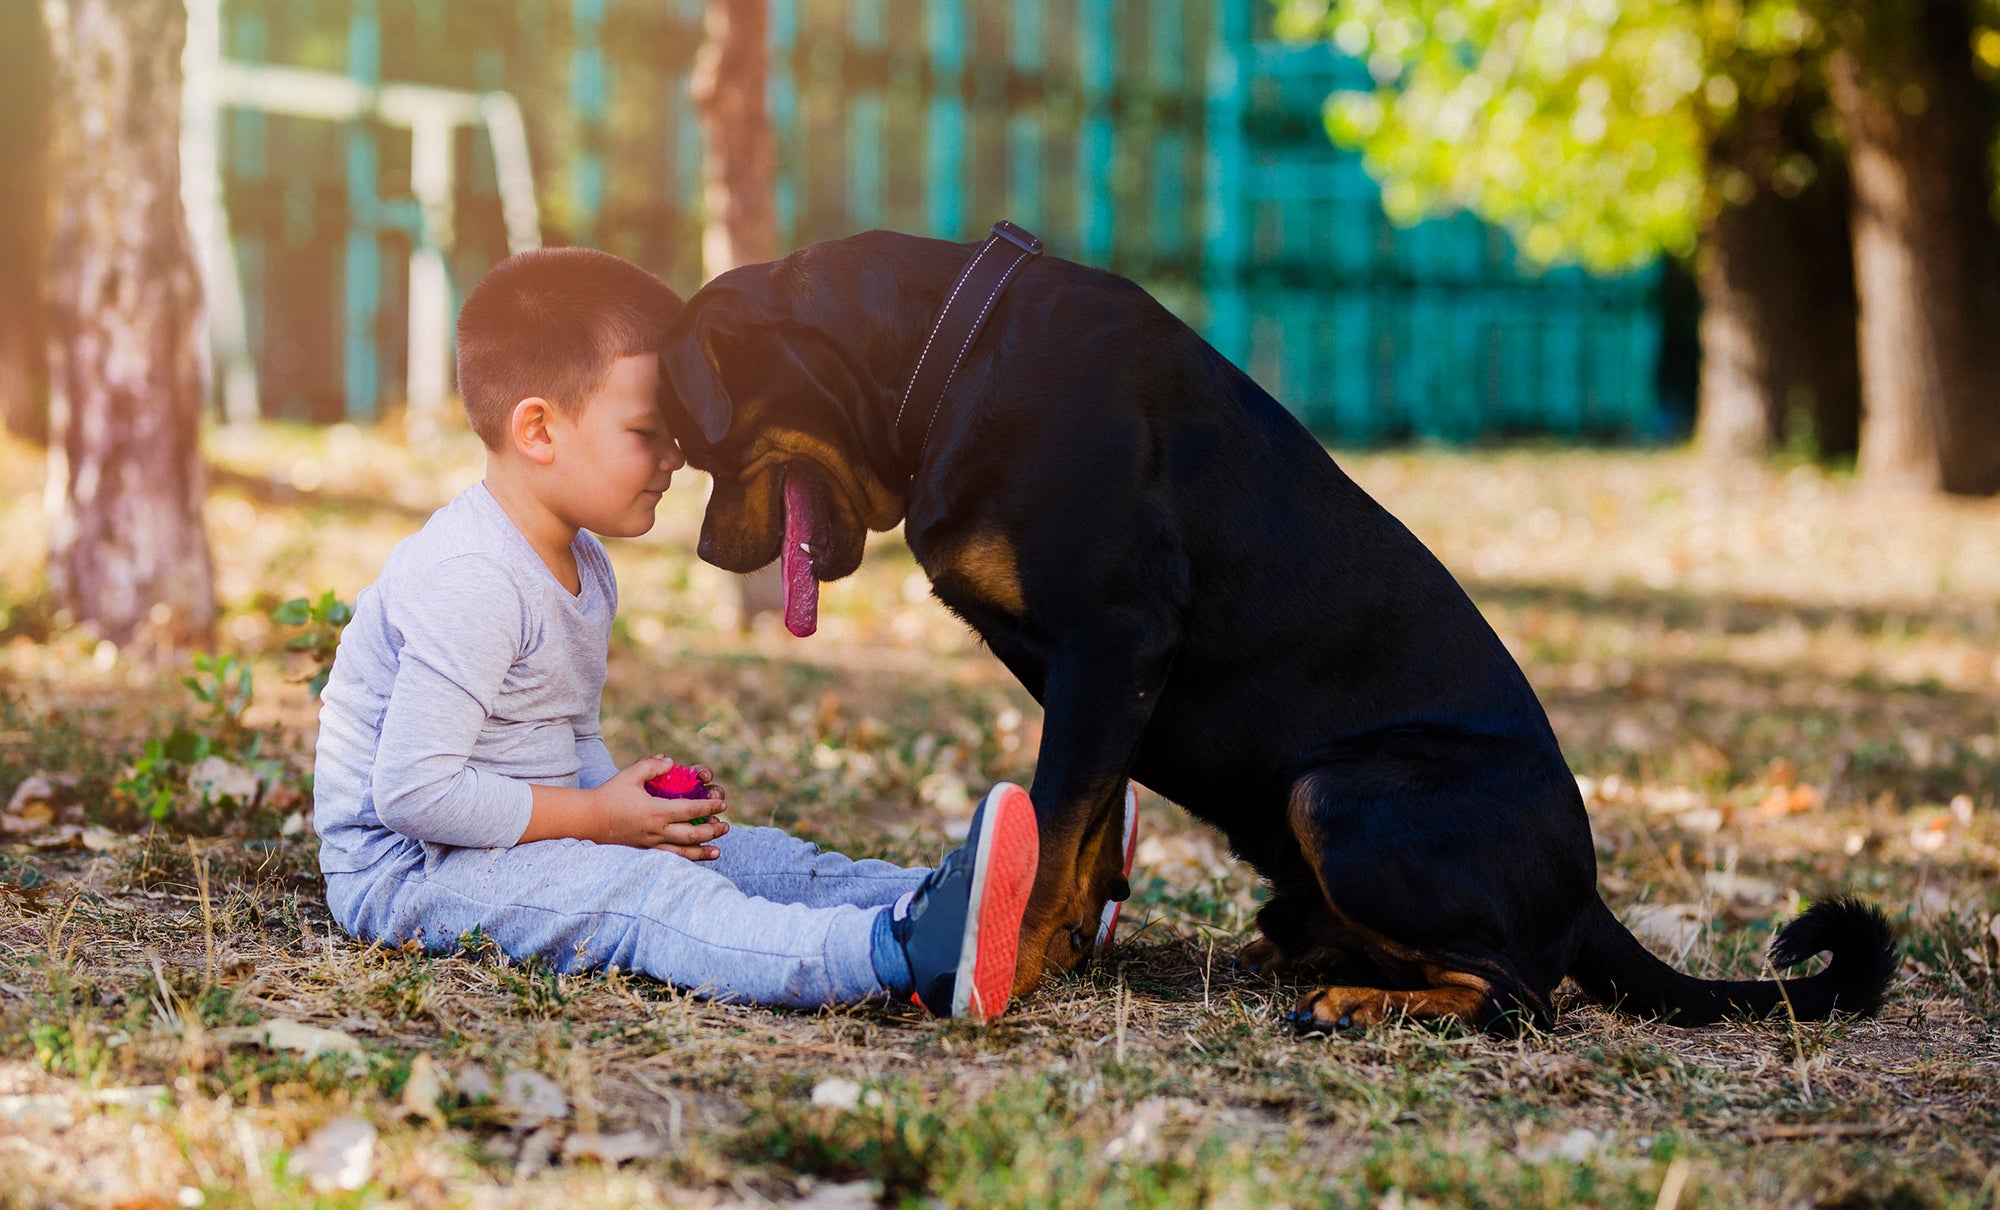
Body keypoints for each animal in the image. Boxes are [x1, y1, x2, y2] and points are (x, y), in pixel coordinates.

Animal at [656, 229, 1888, 1032]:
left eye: (695, 439)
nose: (706, 552)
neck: (945, 361)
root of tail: (1587, 894)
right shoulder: (1101, 677)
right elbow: (1087, 825)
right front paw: (1062, 945)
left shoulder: (1115, 641)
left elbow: (1055, 821)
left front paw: (1008, 960)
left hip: (1336, 794)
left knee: (1526, 996)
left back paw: (1354, 1000)